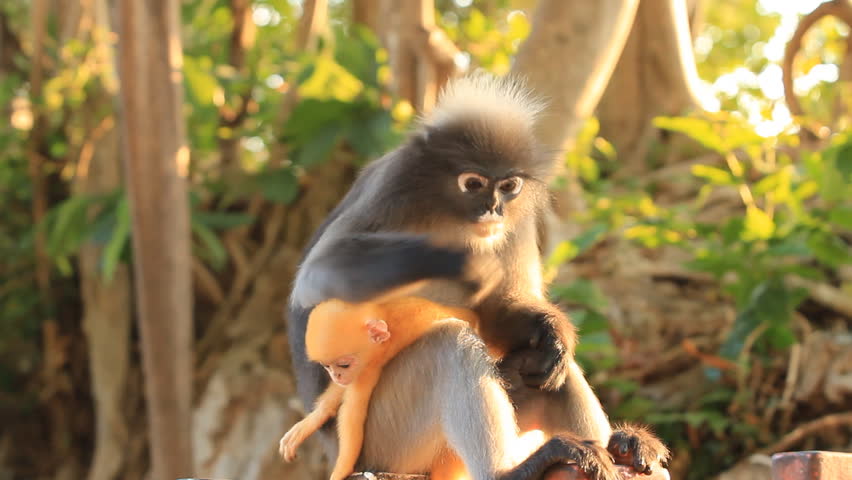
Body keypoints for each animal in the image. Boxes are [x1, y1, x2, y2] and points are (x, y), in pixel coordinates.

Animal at [279, 296, 480, 480]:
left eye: (344, 365)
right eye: (327, 367)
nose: (336, 376)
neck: (390, 322)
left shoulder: (369, 366)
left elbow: (352, 413)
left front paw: (340, 471)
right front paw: (316, 417)